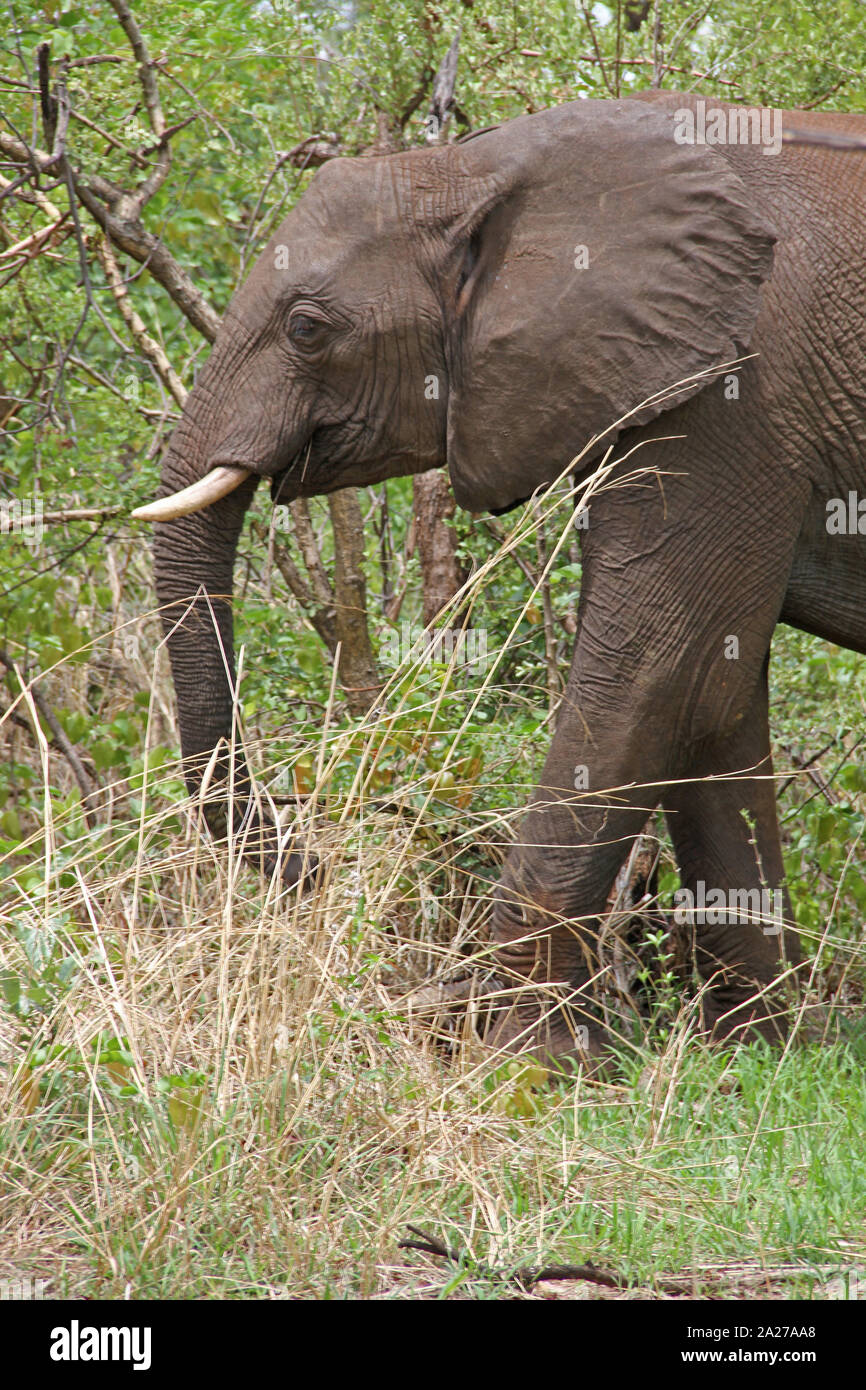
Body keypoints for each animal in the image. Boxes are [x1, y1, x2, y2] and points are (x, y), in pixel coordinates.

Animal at [133, 91, 866, 1065]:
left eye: (307, 329)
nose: (314, 865)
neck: (483, 167)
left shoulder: (740, 393)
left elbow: (660, 674)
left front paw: (517, 1057)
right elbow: (720, 691)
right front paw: (753, 1055)